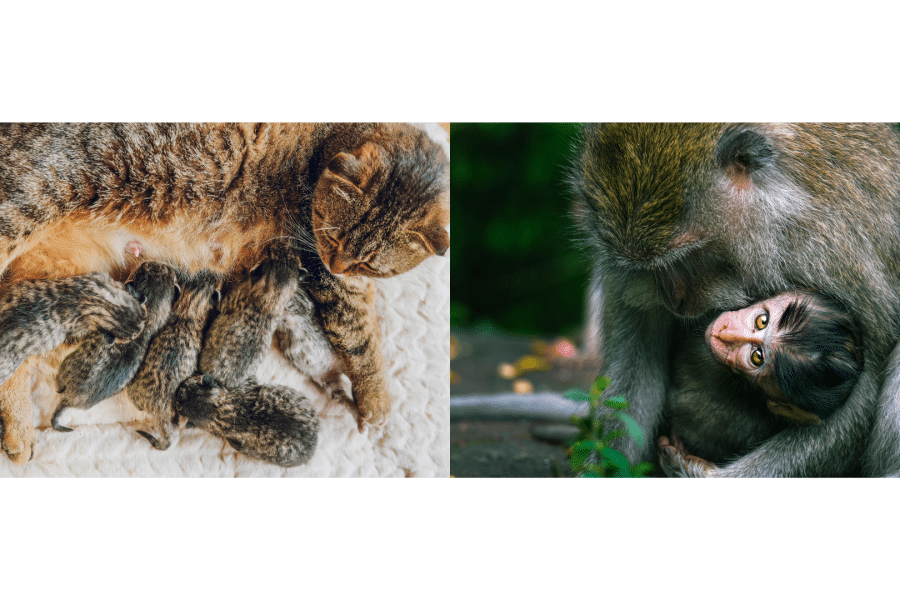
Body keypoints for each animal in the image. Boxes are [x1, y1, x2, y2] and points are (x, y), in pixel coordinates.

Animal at [51, 261, 180, 432]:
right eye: (162, 270)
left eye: (144, 270)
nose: (146, 262)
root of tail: (70, 400)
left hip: (67, 365)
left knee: (59, 381)